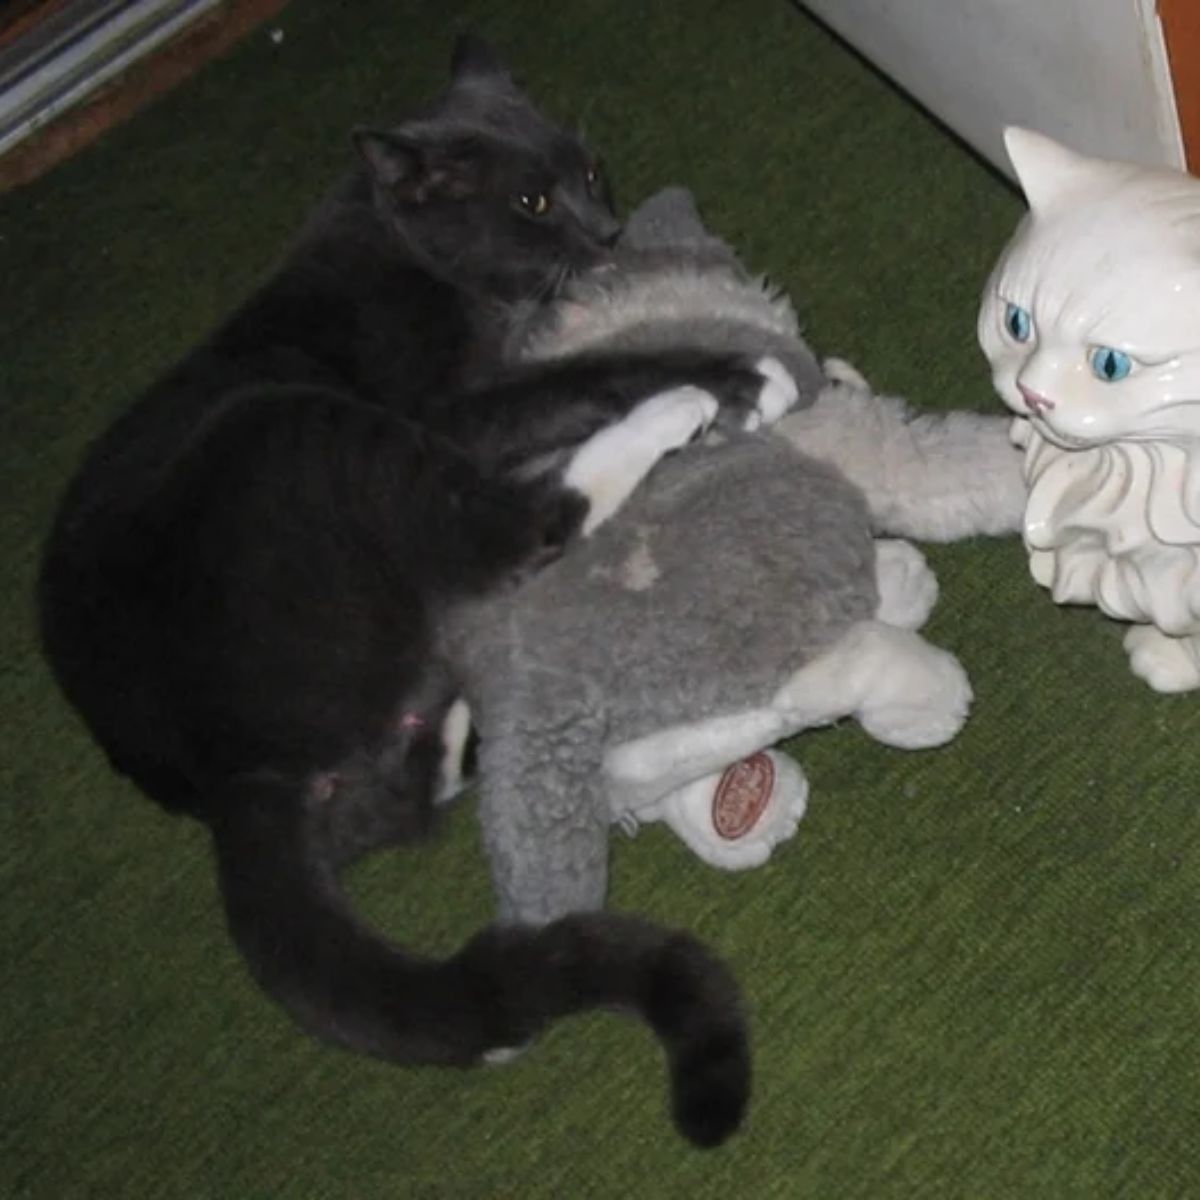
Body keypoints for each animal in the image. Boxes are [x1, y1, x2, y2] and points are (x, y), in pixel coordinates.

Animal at [37, 35, 772, 1142]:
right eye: (532, 203)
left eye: (589, 172)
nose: (605, 230)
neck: (401, 252)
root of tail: (229, 772)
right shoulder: (447, 409)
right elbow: (575, 375)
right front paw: (726, 369)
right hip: (298, 430)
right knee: (511, 529)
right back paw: (679, 410)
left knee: (413, 779)